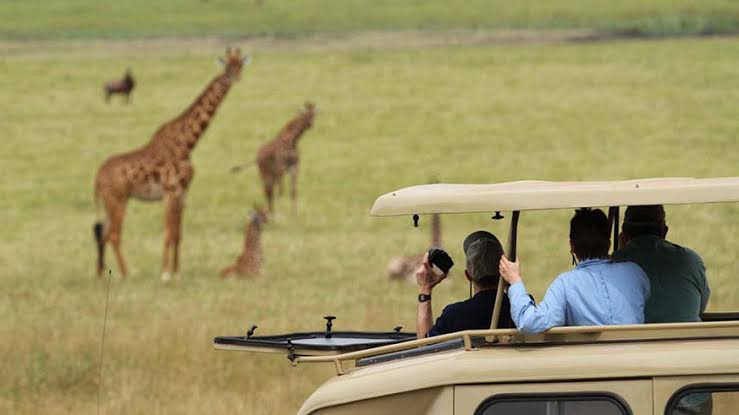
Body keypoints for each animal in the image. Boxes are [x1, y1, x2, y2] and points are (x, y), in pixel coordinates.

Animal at [94, 48, 250, 282]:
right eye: (227, 67)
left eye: (240, 65)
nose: (236, 78)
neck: (188, 143)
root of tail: (96, 178)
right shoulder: (170, 192)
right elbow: (168, 233)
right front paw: (165, 274)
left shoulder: (182, 194)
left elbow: (178, 234)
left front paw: (176, 272)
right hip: (118, 200)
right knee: (113, 234)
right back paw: (127, 274)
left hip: (109, 203)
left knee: (102, 233)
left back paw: (101, 274)